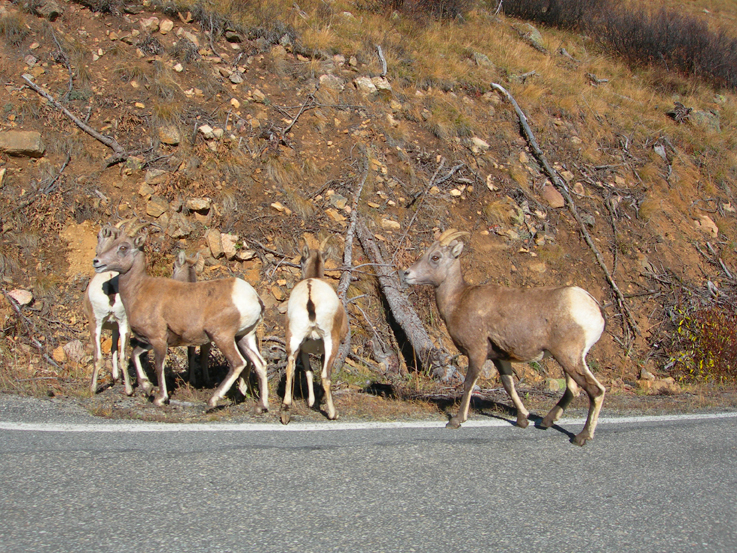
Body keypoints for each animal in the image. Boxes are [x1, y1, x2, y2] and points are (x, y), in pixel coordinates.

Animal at [91, 221, 268, 410]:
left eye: (123, 247)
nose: (97, 261)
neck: (139, 290)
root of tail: (254, 298)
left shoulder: (158, 340)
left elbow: (159, 366)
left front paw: (160, 398)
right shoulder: (149, 341)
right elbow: (135, 354)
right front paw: (147, 387)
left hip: (223, 337)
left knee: (238, 363)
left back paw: (212, 401)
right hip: (244, 337)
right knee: (260, 364)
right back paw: (261, 407)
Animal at [282, 245, 350, 422]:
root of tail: (310, 294)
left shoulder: (304, 349)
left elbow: (308, 372)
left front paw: (311, 402)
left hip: (294, 339)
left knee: (290, 369)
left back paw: (285, 411)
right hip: (330, 340)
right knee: (325, 376)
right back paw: (333, 413)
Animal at [402, 229, 604, 444]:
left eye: (435, 257)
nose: (406, 274)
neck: (458, 300)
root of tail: (592, 306)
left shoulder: (477, 352)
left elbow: (469, 383)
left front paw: (456, 421)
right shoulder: (500, 358)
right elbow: (509, 385)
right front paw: (523, 420)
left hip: (569, 356)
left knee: (596, 391)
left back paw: (581, 437)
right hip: (569, 359)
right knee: (573, 388)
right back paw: (545, 422)